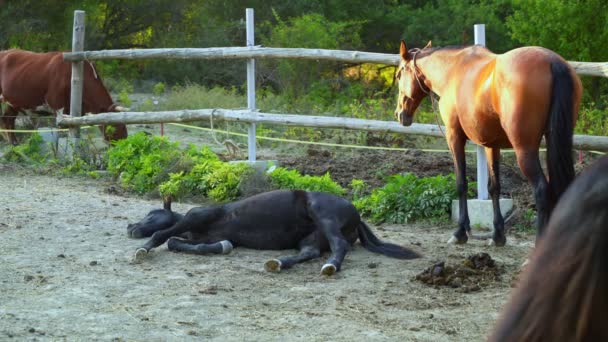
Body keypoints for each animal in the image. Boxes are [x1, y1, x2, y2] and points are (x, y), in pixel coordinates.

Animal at [127, 190, 422, 276]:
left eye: (151, 214)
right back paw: (278, 263)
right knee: (308, 252)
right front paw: (220, 247)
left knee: (340, 245)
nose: (131, 227)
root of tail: (356, 215)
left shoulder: (195, 216)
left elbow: (163, 236)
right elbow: (180, 243)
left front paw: (143, 249)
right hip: (311, 238)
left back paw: (330, 267)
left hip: (323, 216)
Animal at [394, 40, 584, 246]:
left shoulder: (454, 137)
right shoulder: (491, 145)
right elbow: (494, 187)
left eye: (399, 75)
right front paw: (497, 235)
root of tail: (552, 62)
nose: (399, 114)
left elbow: (461, 183)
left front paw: (460, 232)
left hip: (524, 150)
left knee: (541, 189)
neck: (452, 71)